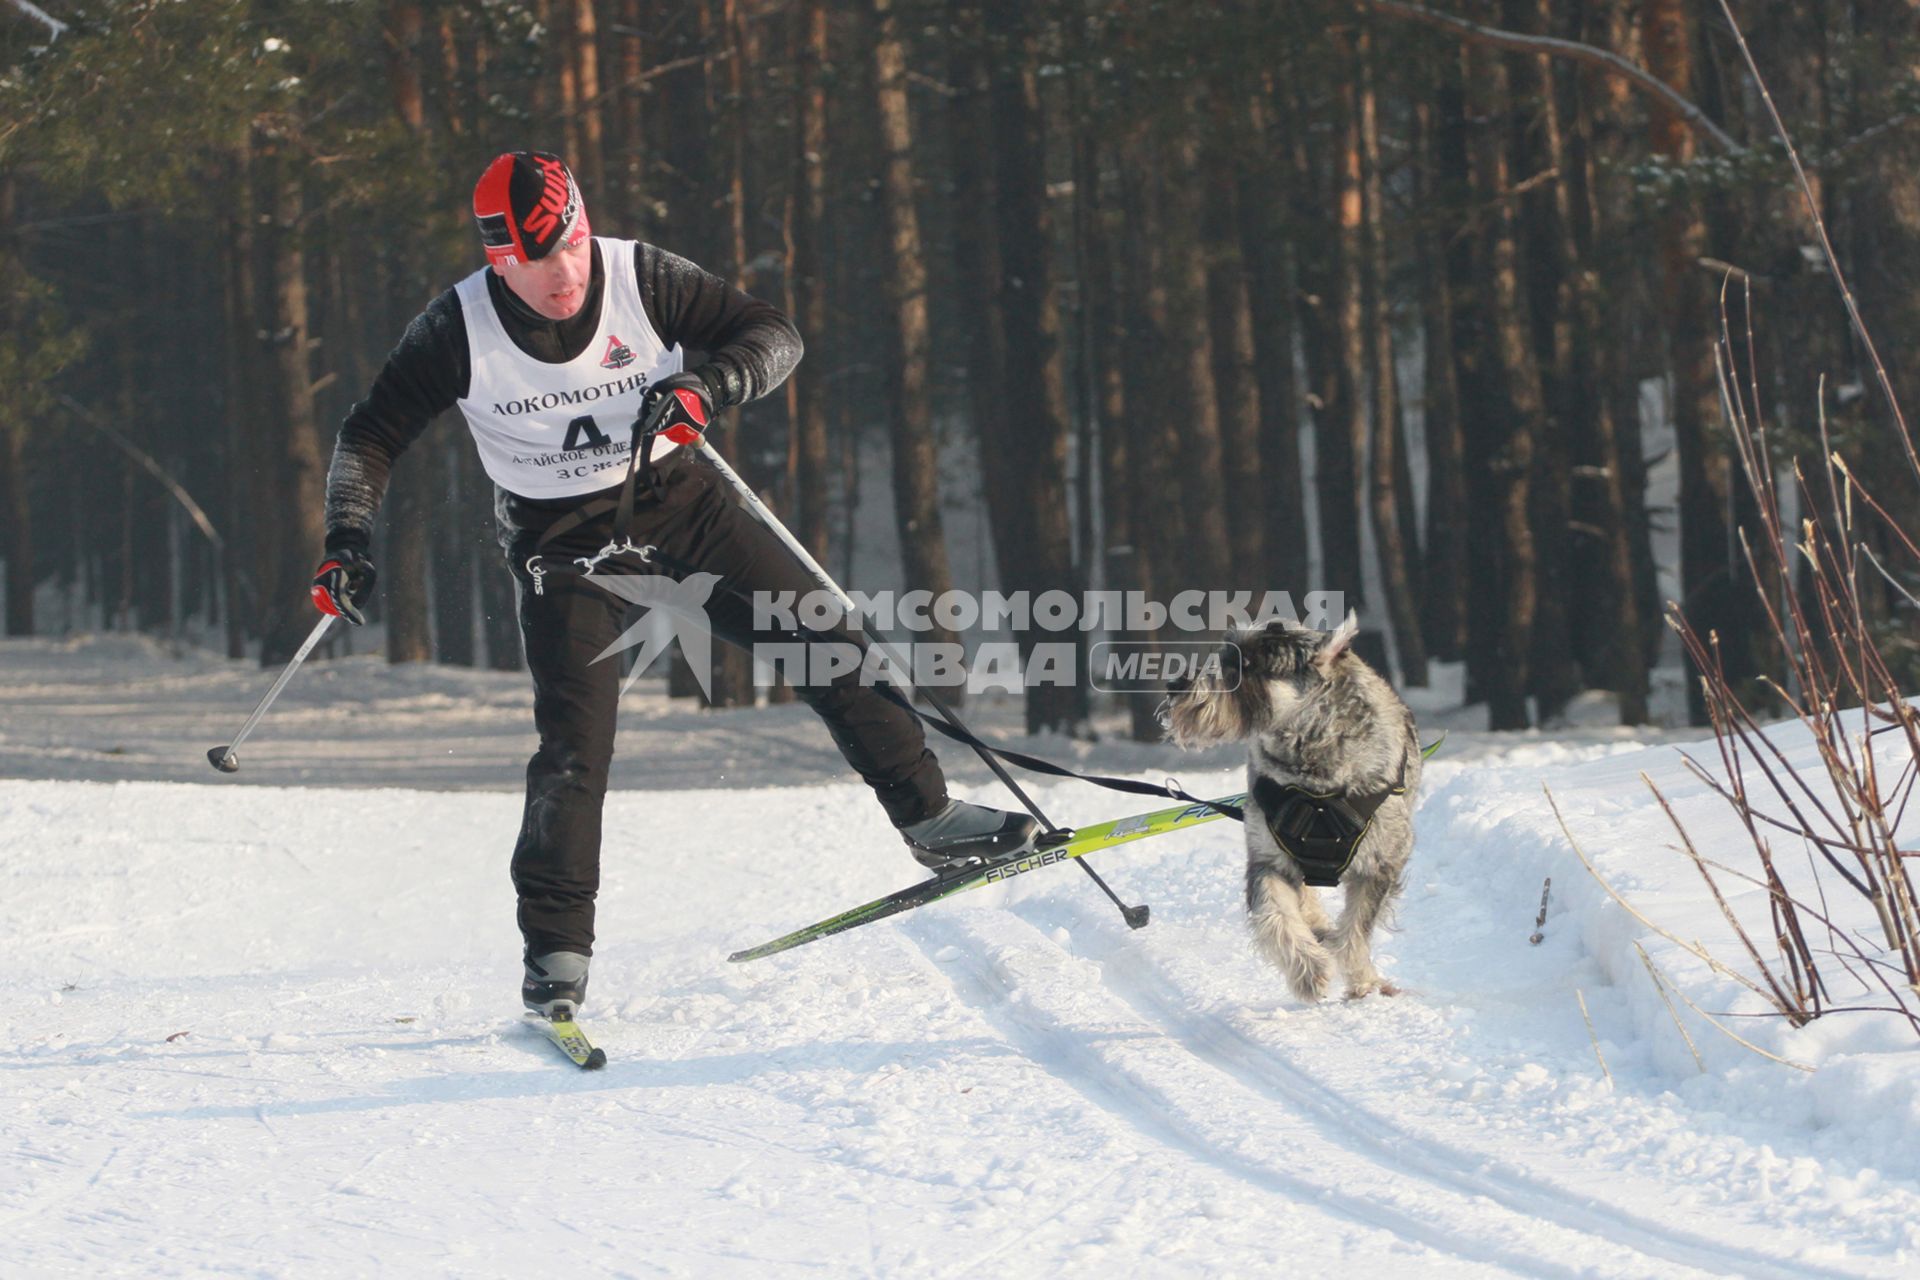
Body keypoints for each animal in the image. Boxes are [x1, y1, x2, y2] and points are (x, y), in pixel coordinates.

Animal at [1159, 614, 1420, 1005]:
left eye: (1246, 665)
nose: (1175, 684)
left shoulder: (1379, 864)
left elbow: (1356, 929)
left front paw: (1364, 983)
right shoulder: (1270, 859)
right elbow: (1275, 914)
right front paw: (1309, 971)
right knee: (1305, 900)